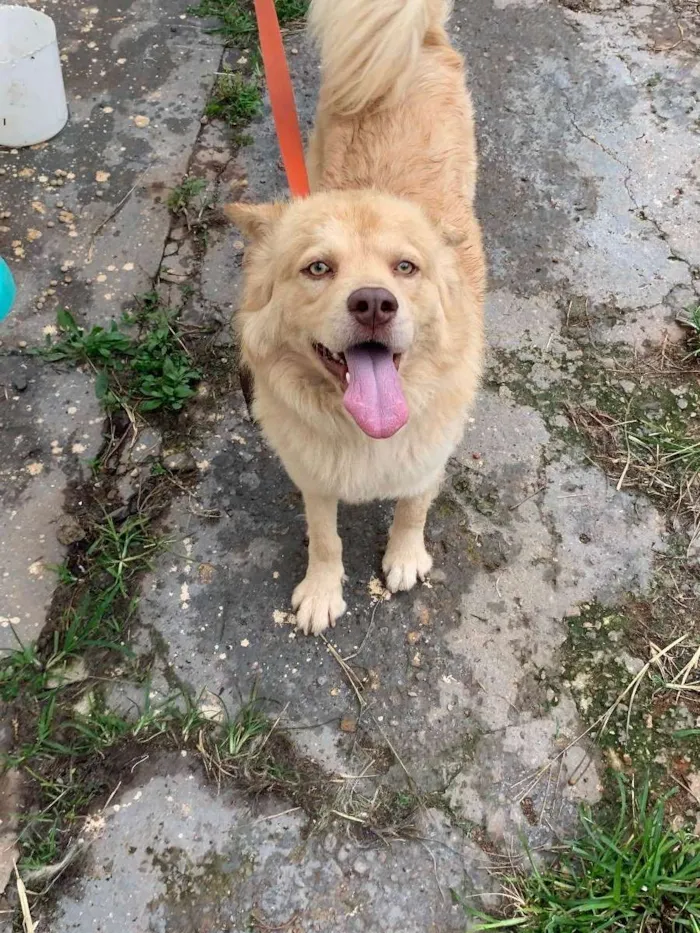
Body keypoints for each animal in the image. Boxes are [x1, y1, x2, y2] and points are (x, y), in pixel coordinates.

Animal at [227, 0, 484, 632]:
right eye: (318, 268)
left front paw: (405, 556)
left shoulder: (428, 460)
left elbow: (413, 508)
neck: (364, 433)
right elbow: (325, 538)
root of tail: (420, 38)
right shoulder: (314, 477)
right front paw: (323, 590)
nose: (373, 303)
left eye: (406, 268)